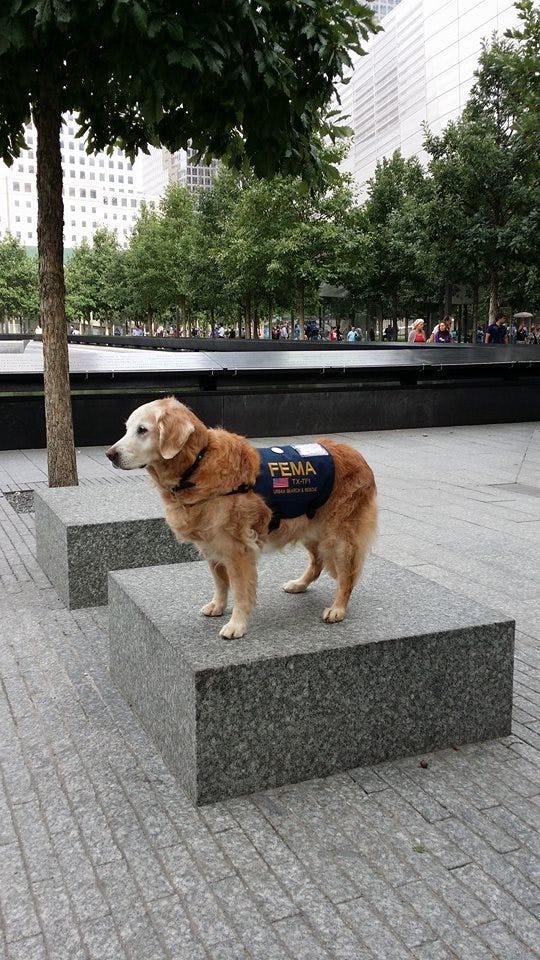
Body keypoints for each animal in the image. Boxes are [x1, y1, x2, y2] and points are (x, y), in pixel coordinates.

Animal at [105, 396, 376, 636]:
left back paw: (338, 608)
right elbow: (220, 582)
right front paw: (218, 605)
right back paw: (299, 584)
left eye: (142, 430)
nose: (110, 454)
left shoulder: (238, 550)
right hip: (308, 526)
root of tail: (357, 455)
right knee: (317, 562)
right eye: (127, 429)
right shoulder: (211, 545)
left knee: (347, 576)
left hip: (338, 536)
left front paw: (237, 625)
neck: (196, 465)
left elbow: (240, 591)